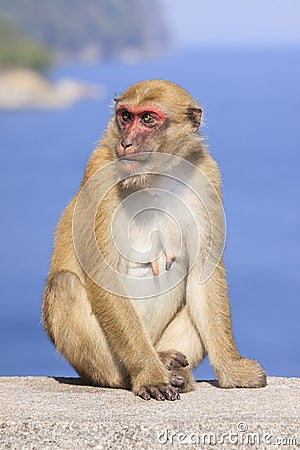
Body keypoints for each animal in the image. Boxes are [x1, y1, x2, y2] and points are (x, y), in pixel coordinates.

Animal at [41, 78, 264, 400]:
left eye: (147, 118)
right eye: (125, 116)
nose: (125, 143)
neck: (154, 176)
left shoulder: (205, 175)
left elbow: (204, 272)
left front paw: (233, 371)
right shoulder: (100, 174)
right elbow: (102, 276)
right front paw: (150, 376)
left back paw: (176, 369)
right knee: (64, 284)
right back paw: (148, 369)